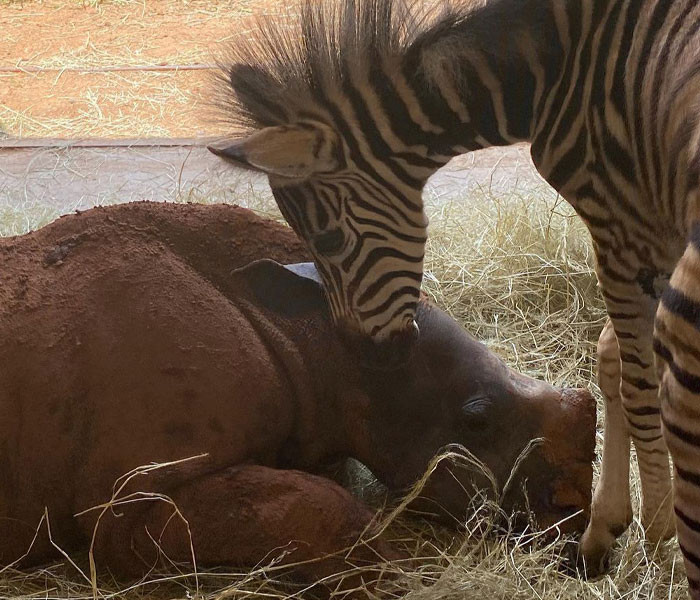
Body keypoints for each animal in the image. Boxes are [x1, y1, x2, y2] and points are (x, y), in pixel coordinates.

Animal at [0, 204, 592, 588]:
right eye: (477, 419)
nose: (576, 528)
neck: (317, 338)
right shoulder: (124, 506)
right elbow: (320, 503)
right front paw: (387, 580)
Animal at [211, 0, 700, 592]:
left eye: (327, 240)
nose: (365, 354)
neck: (549, 68)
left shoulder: (622, 224)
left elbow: (635, 379)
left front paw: (656, 527)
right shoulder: (655, 224)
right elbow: (613, 357)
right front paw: (610, 529)